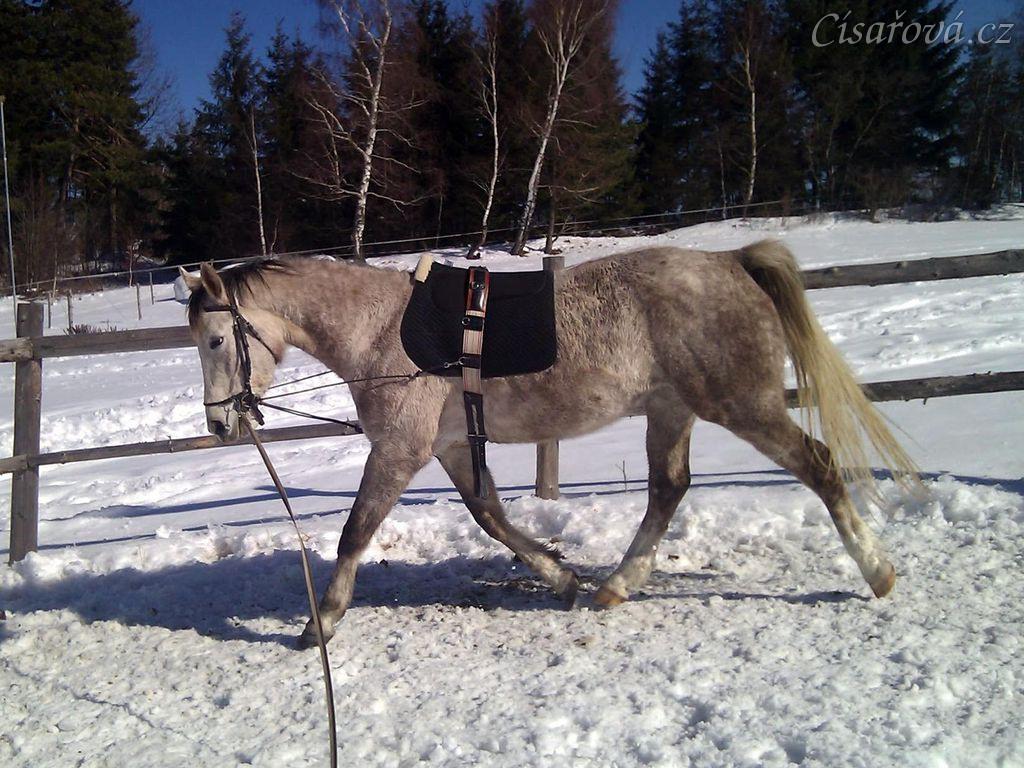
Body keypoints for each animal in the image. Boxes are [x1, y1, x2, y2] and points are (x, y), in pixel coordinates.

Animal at [180, 240, 917, 648]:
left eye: (215, 341)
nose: (220, 426)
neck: (381, 329)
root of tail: (730, 264)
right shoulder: (450, 446)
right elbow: (492, 517)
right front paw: (561, 576)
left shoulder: (399, 450)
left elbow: (355, 531)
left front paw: (322, 622)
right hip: (670, 410)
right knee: (667, 490)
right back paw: (614, 585)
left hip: (740, 404)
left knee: (819, 466)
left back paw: (877, 570)